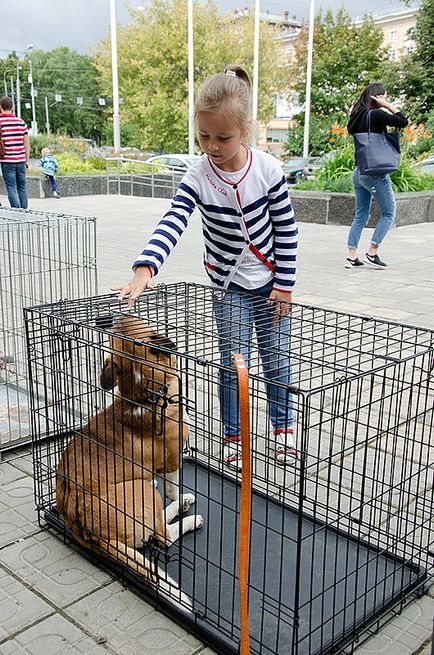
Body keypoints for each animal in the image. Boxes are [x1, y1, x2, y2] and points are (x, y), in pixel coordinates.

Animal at [55, 316, 202, 604]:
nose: (117, 316)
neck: (144, 397)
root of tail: (81, 522)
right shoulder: (171, 462)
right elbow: (172, 487)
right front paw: (179, 497)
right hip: (142, 490)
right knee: (162, 536)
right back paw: (187, 514)